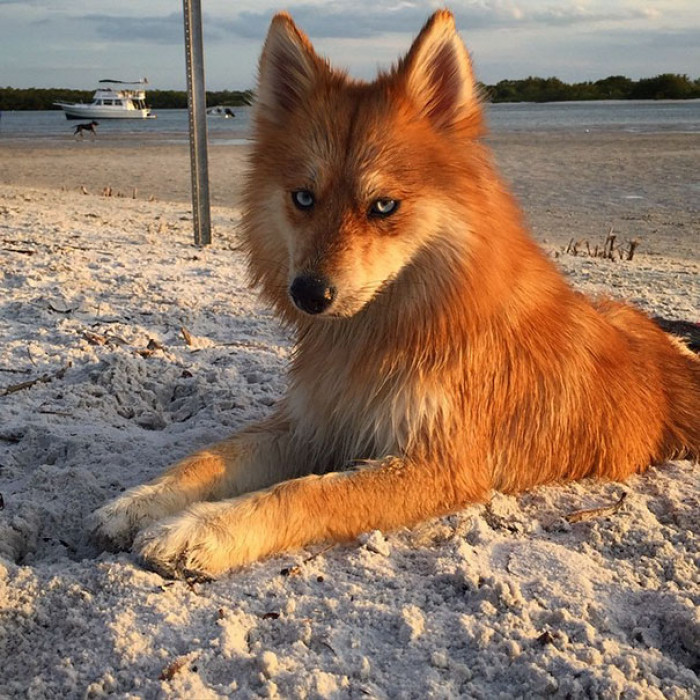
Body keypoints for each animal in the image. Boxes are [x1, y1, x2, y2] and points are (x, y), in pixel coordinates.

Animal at [89, 10, 700, 580]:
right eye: (303, 198)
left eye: (383, 206)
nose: (308, 293)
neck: (380, 333)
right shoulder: (312, 423)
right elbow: (212, 455)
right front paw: (138, 502)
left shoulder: (437, 464)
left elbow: (307, 492)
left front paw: (202, 530)